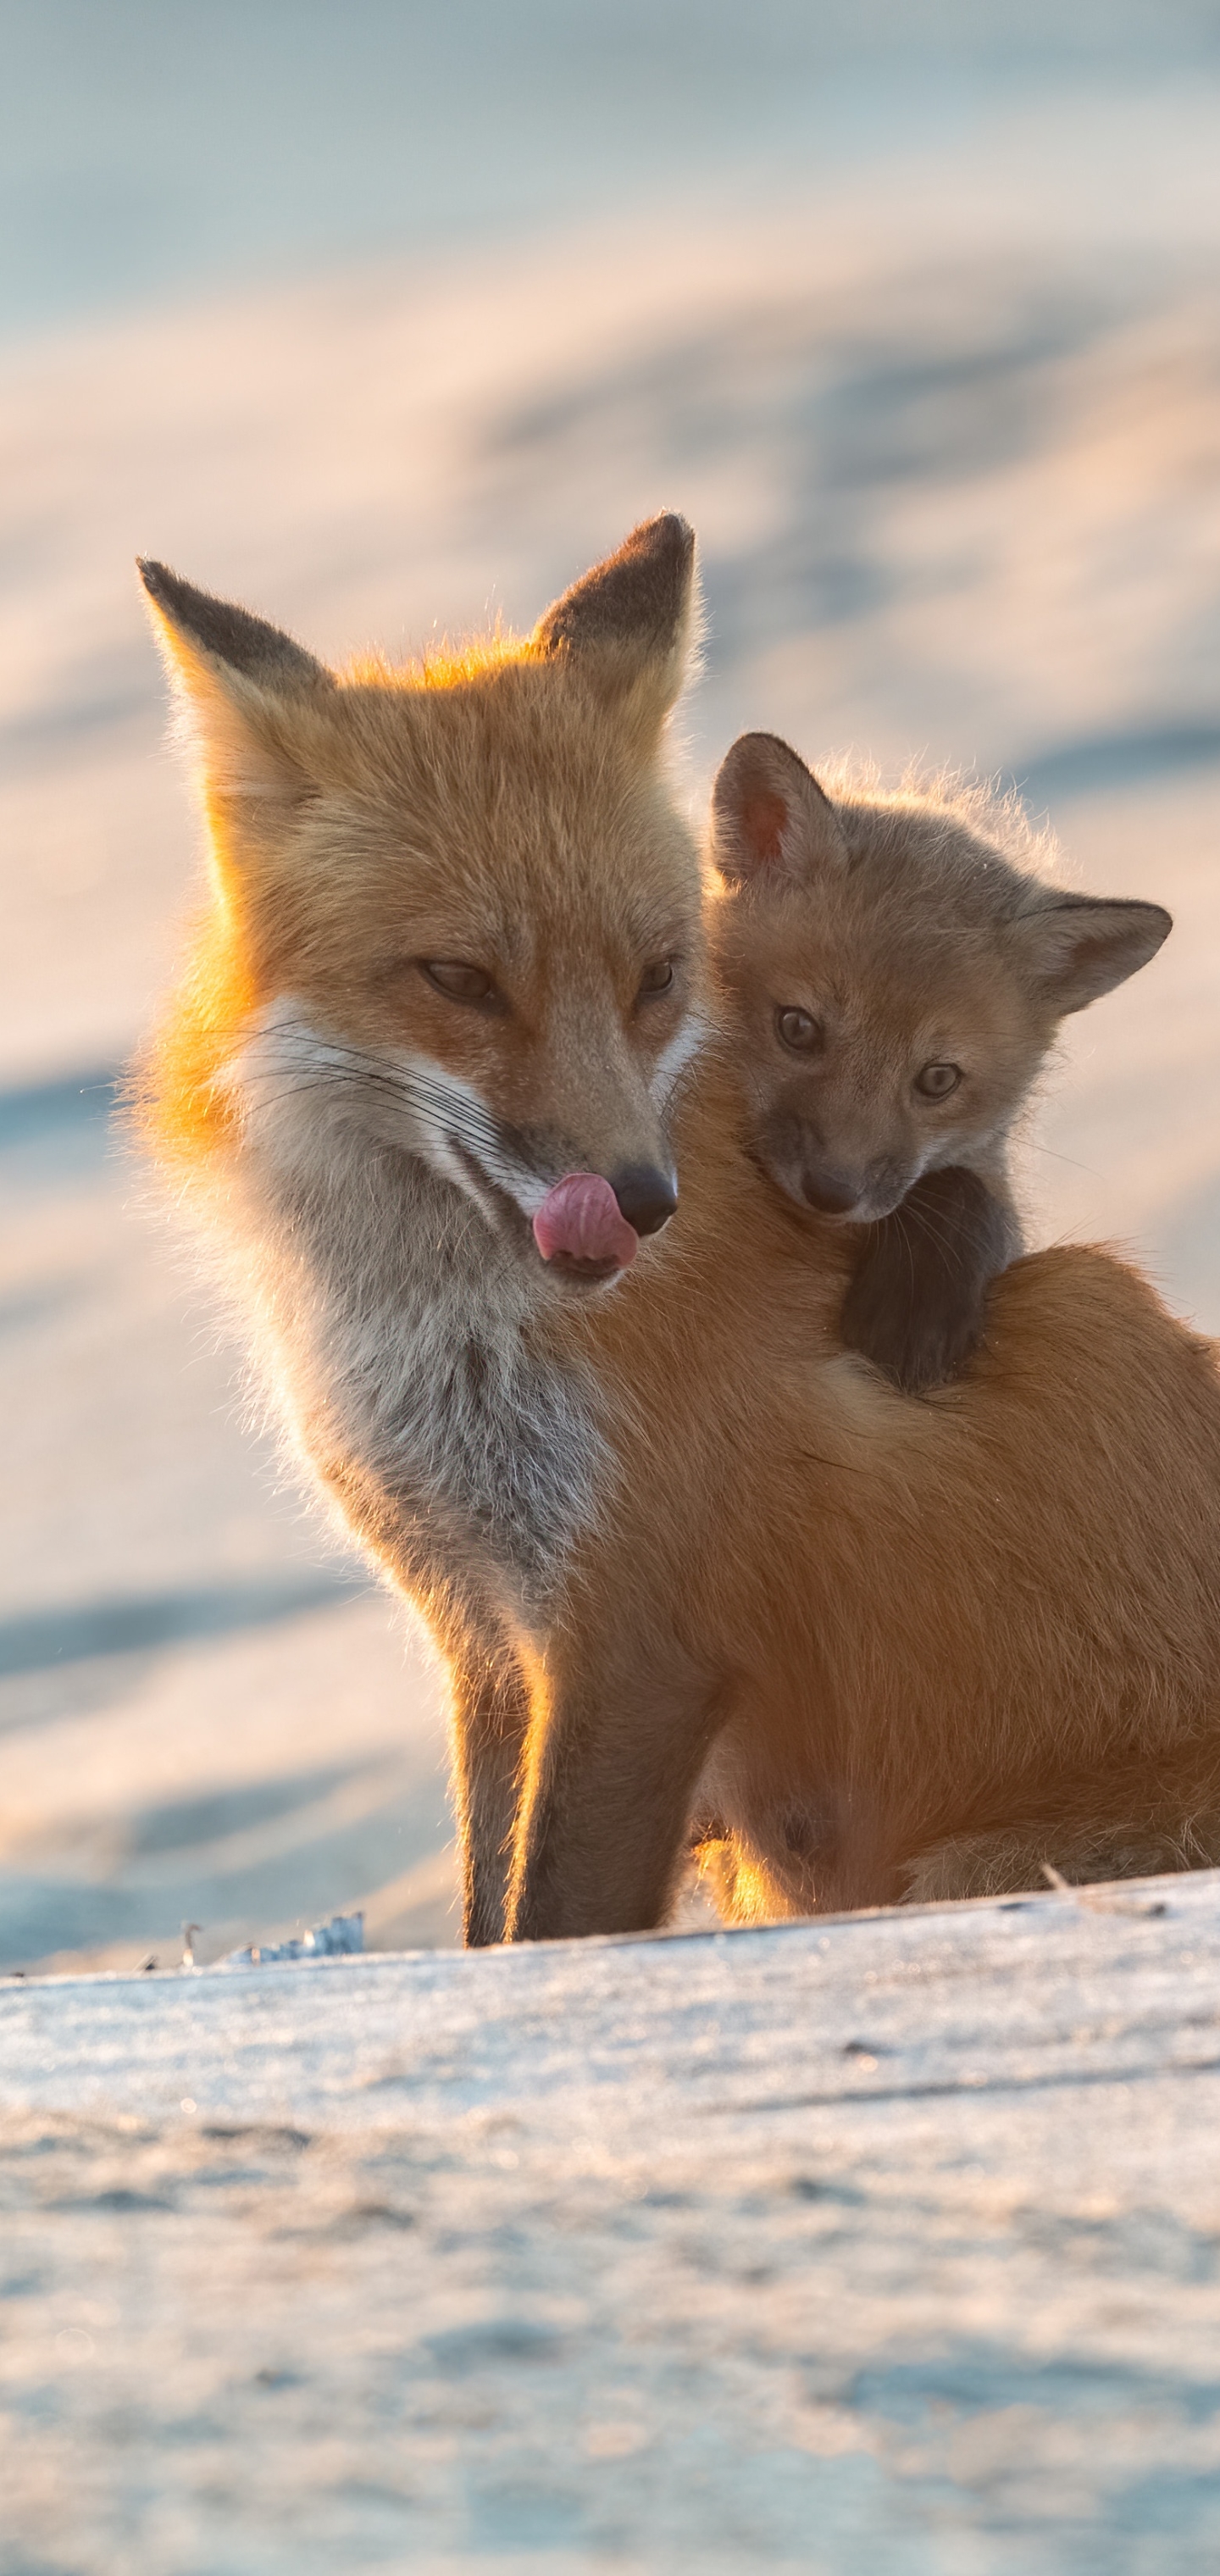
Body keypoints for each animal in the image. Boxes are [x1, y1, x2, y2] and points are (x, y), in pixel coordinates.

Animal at [138, 518, 1220, 1937]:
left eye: (657, 978)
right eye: (459, 981)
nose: (645, 1203)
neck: (439, 1342)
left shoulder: (637, 1638)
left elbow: (554, 1922)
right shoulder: (491, 1638)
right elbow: (488, 1920)